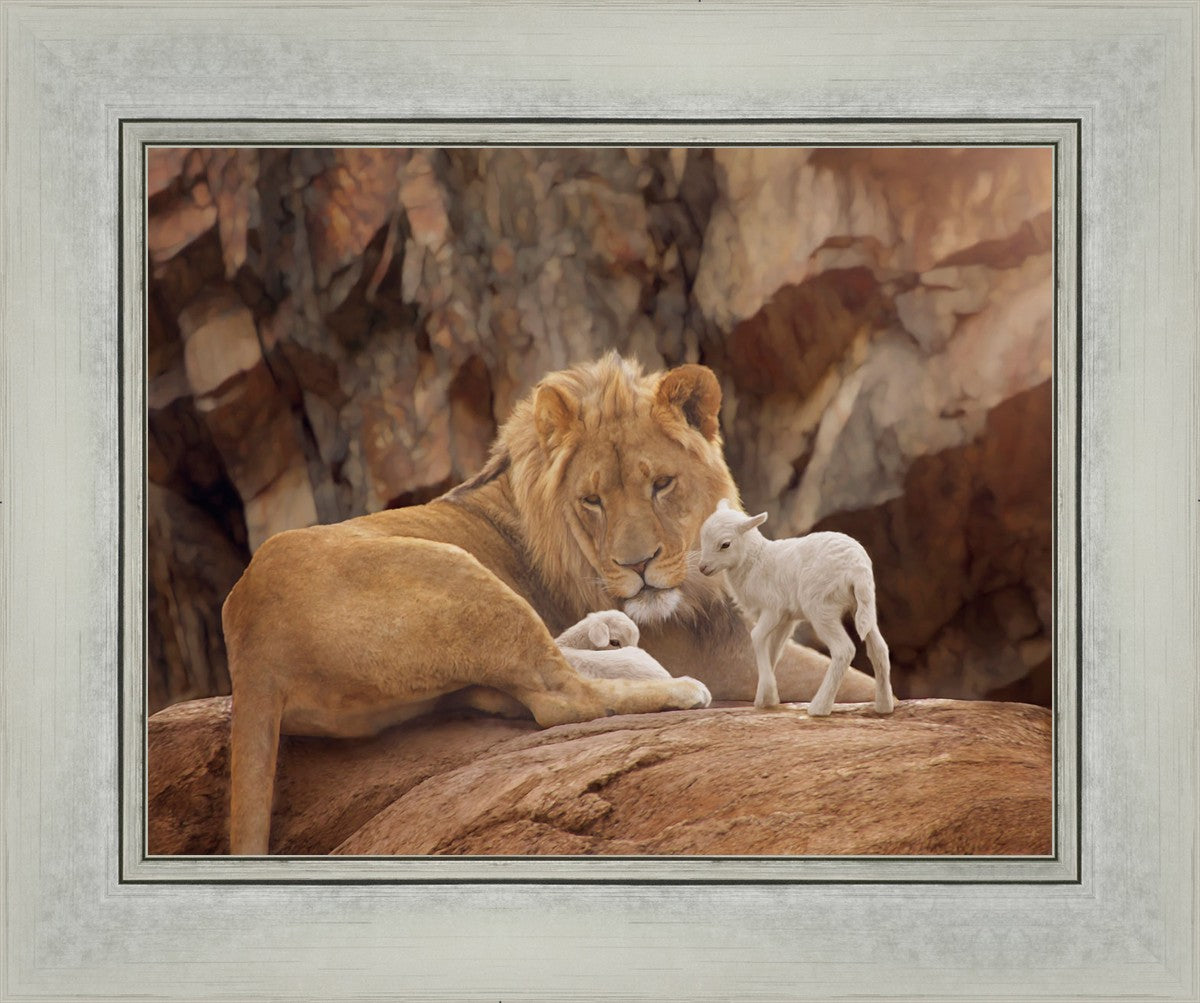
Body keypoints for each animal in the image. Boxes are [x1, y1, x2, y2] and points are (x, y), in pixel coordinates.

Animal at [697, 500, 895, 717]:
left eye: (725, 544)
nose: (702, 568)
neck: (755, 561)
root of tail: (857, 567)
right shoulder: (786, 618)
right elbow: (774, 649)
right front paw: (766, 698)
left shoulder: (773, 609)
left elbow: (757, 637)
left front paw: (768, 694)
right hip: (864, 605)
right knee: (879, 648)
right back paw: (884, 706)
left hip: (821, 607)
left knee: (844, 650)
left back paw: (819, 707)